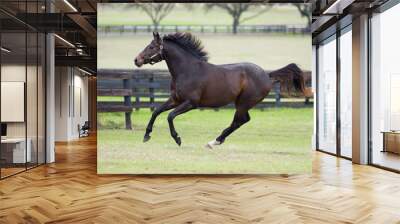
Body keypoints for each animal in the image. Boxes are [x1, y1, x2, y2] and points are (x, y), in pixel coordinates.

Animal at [133, 31, 304, 147]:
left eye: (151, 46)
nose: (136, 60)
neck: (187, 70)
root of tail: (267, 76)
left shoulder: (191, 103)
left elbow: (170, 116)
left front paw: (177, 139)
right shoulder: (175, 100)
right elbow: (156, 111)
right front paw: (146, 135)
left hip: (243, 103)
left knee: (239, 121)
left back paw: (213, 142)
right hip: (242, 104)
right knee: (242, 120)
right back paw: (216, 141)